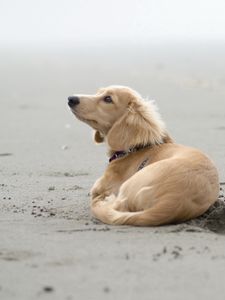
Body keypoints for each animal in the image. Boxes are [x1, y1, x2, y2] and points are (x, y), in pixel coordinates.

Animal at [67, 85, 219, 226]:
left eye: (108, 99)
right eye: (98, 92)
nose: (71, 99)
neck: (135, 148)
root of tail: (172, 201)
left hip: (129, 184)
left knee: (118, 205)